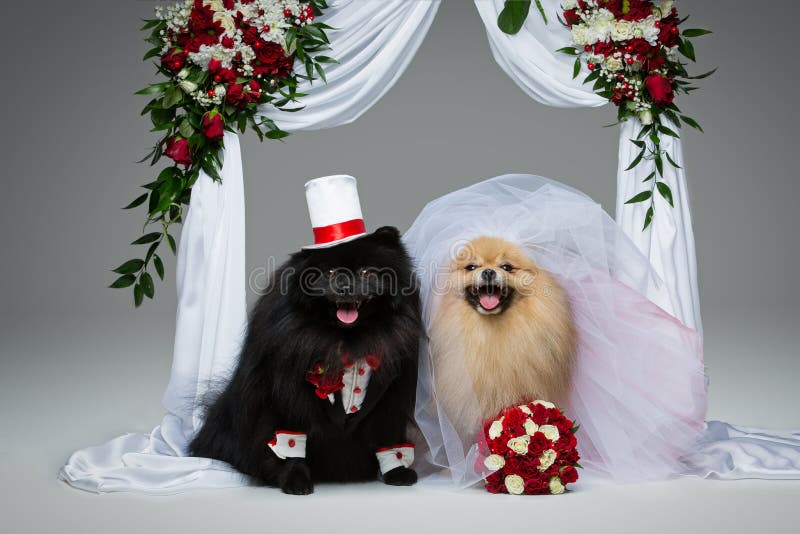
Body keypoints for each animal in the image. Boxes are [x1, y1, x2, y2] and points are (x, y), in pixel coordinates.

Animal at [191, 228, 422, 496]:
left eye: (366, 272)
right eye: (329, 273)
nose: (345, 286)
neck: (348, 341)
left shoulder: (389, 398)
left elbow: (389, 437)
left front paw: (397, 472)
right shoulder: (288, 397)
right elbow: (291, 443)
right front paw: (295, 479)